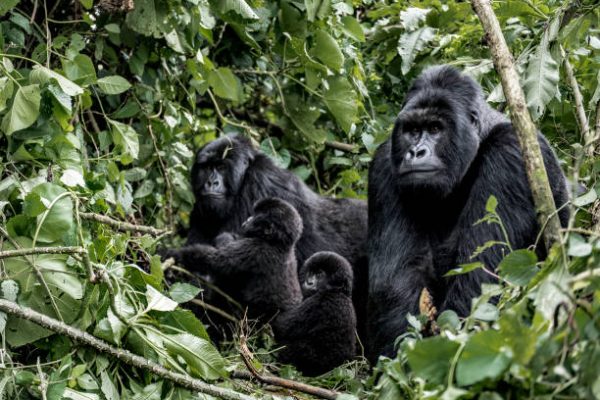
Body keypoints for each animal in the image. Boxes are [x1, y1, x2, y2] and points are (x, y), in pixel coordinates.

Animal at [162, 198, 302, 322]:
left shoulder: (254, 248)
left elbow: (216, 260)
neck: (278, 243)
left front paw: (176, 253)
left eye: (256, 216)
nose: (248, 219)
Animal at [368, 65, 568, 360]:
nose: (415, 152)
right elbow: (396, 280)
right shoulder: (384, 163)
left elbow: (482, 278)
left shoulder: (510, 151)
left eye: (435, 128)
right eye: (412, 130)